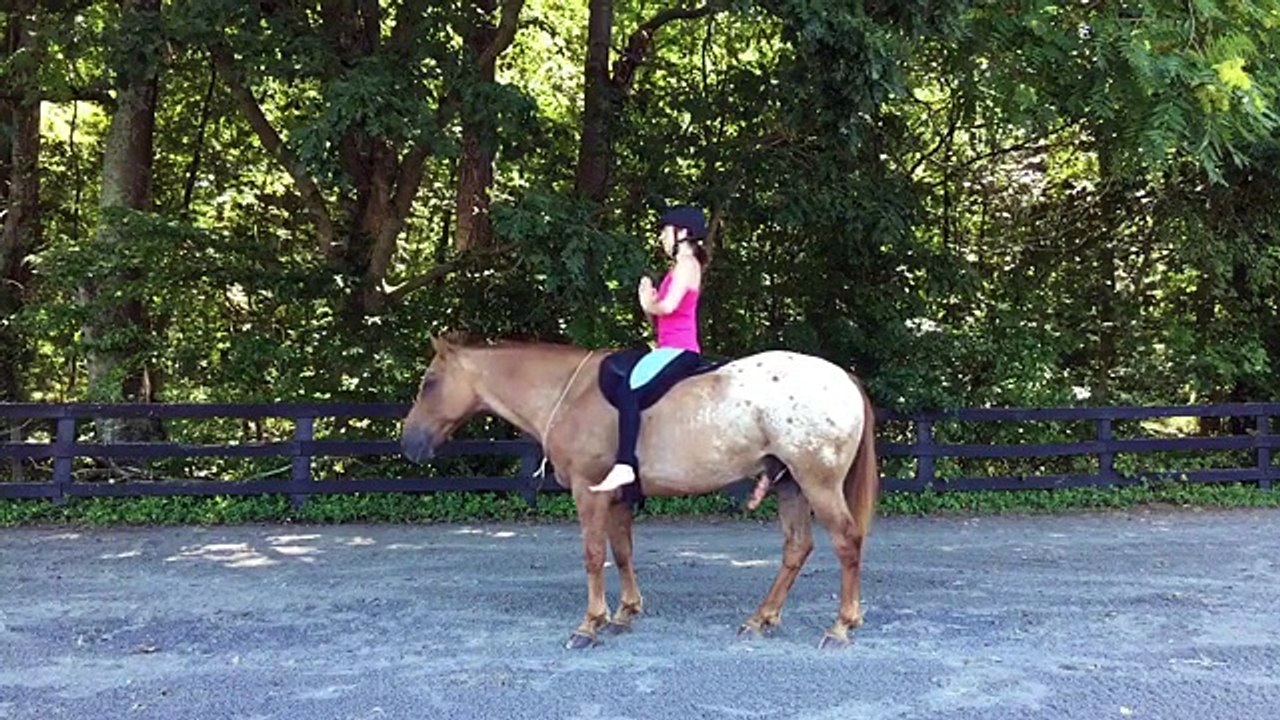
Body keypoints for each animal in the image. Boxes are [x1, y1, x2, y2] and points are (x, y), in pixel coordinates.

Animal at [400, 332, 880, 650]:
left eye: (429, 383)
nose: (409, 443)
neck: (569, 395)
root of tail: (845, 379)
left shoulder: (589, 492)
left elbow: (594, 554)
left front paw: (590, 624)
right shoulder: (617, 498)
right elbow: (622, 551)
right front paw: (625, 613)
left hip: (817, 484)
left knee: (846, 541)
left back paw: (841, 626)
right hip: (790, 486)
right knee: (796, 548)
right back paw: (761, 619)